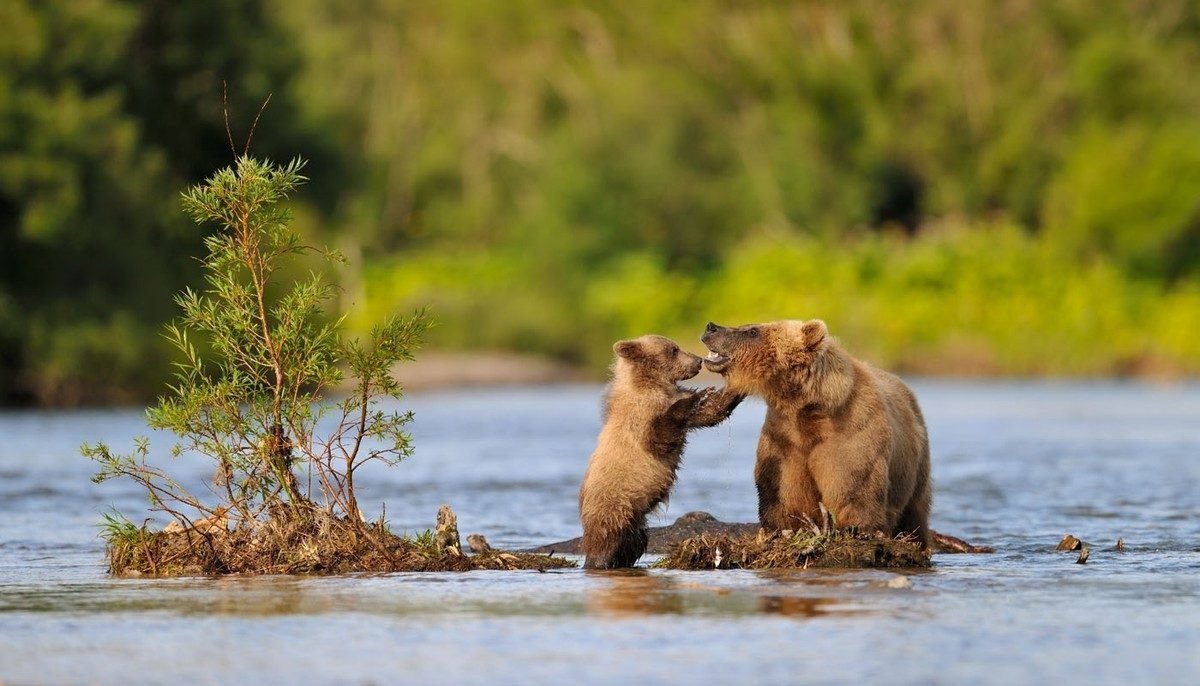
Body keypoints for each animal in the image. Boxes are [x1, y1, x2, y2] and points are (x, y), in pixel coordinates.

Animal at [700, 321, 931, 546]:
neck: (808, 409)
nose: (711, 327)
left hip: (915, 464)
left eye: (753, 331)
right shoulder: (784, 438)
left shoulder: (851, 431)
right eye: (747, 326)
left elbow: (854, 484)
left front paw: (858, 529)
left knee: (915, 511)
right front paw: (781, 528)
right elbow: (782, 489)